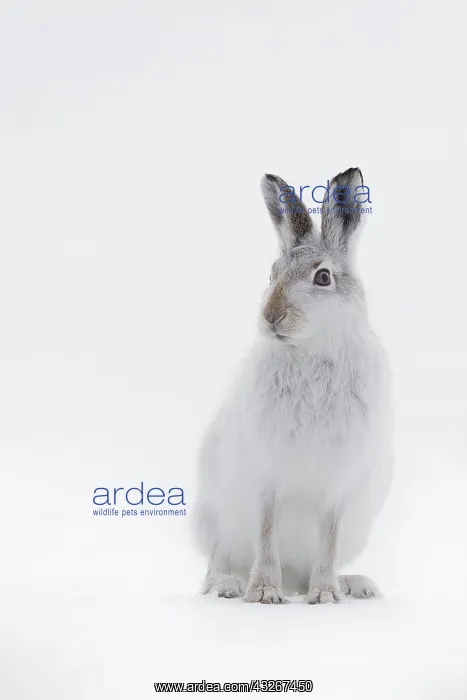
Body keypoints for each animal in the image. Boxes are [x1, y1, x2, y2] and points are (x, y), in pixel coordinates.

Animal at [192, 167, 393, 604]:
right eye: (272, 274)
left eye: (323, 277)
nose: (271, 316)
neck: (310, 349)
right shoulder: (268, 478)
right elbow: (267, 534)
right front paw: (264, 591)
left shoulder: (337, 485)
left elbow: (328, 539)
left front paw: (325, 594)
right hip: (218, 517)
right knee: (218, 559)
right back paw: (230, 585)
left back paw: (352, 585)